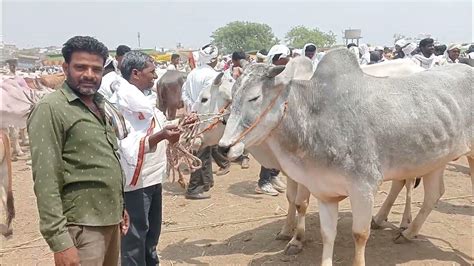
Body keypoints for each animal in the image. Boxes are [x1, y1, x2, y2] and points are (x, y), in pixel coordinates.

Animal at [219, 48, 474, 266]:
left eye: (254, 97)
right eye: (232, 95)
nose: (223, 147)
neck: (315, 115)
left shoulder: (363, 188)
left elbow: (359, 234)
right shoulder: (324, 192)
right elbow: (327, 234)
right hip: (434, 159)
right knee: (433, 194)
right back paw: (408, 233)